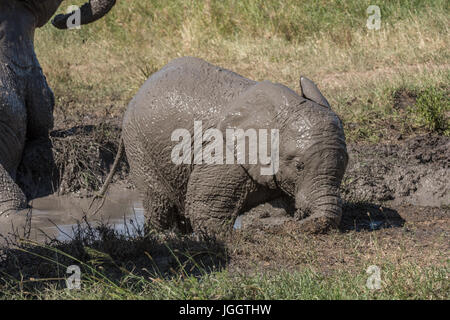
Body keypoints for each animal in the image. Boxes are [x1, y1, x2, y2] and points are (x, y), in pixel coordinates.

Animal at [123, 57, 348, 238]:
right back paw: (166, 236)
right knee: (158, 200)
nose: (299, 218)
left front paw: (269, 221)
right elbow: (205, 209)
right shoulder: (223, 154)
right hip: (137, 143)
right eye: (299, 166)